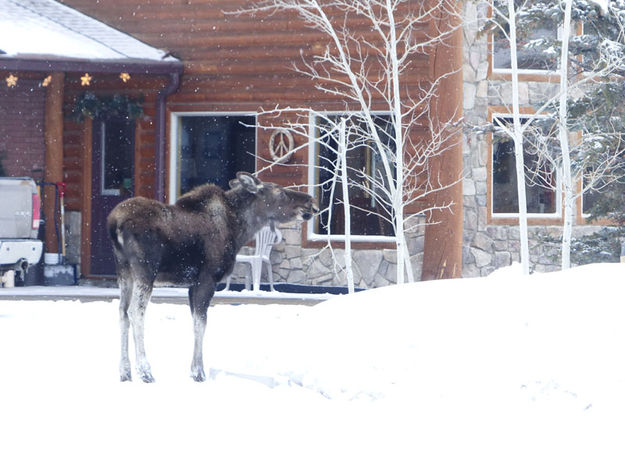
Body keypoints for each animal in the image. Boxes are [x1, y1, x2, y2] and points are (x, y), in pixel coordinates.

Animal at [105, 174, 316, 382]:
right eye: (279, 192)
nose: (311, 202)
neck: (239, 228)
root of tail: (114, 224)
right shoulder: (207, 278)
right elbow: (201, 324)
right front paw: (198, 372)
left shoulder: (192, 284)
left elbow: (195, 322)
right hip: (145, 271)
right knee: (135, 312)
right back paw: (145, 371)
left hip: (124, 272)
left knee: (122, 312)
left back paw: (125, 372)